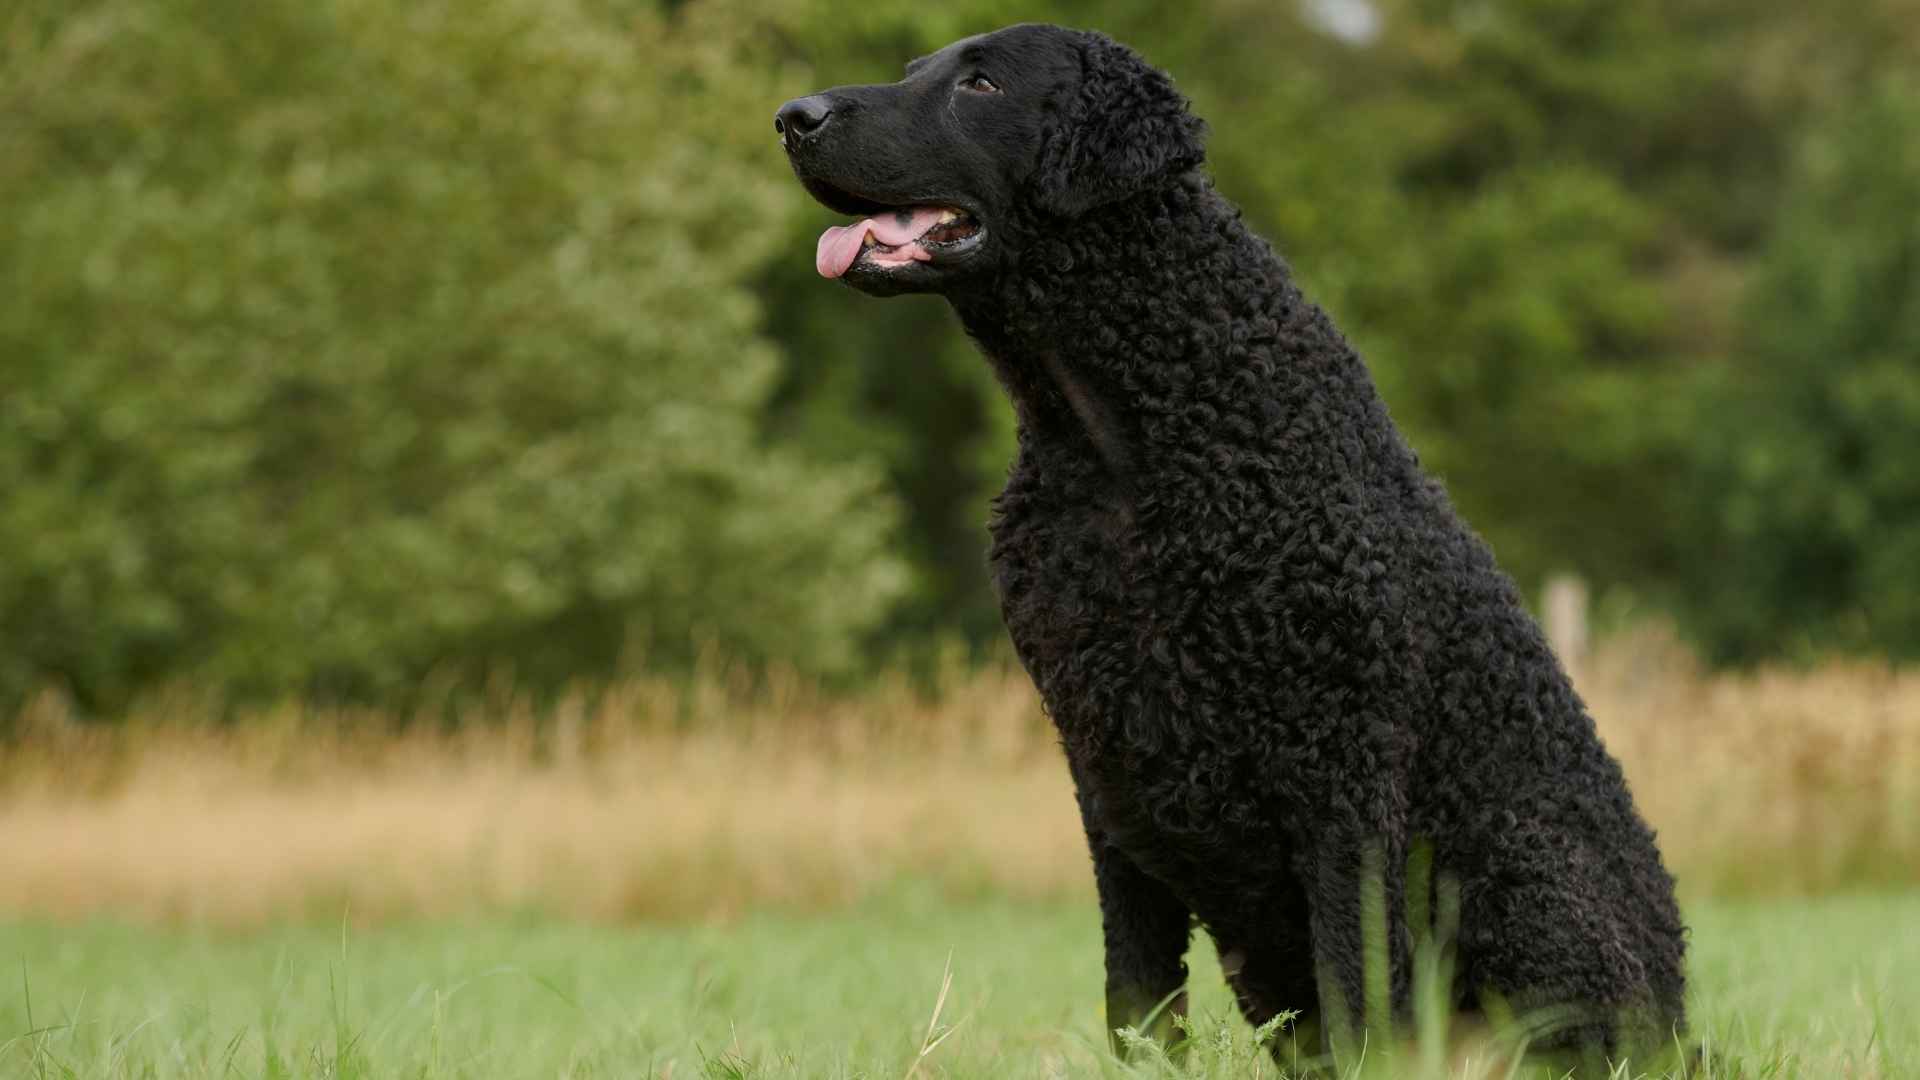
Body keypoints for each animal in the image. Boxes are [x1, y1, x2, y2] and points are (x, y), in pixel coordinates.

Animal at [771, 21, 1689, 1053]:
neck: (1121, 442)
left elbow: (1358, 984)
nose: (792, 116)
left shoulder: (1341, 771)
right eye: (913, 71)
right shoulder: (1104, 768)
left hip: (1526, 879)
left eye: (981, 82)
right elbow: (1136, 994)